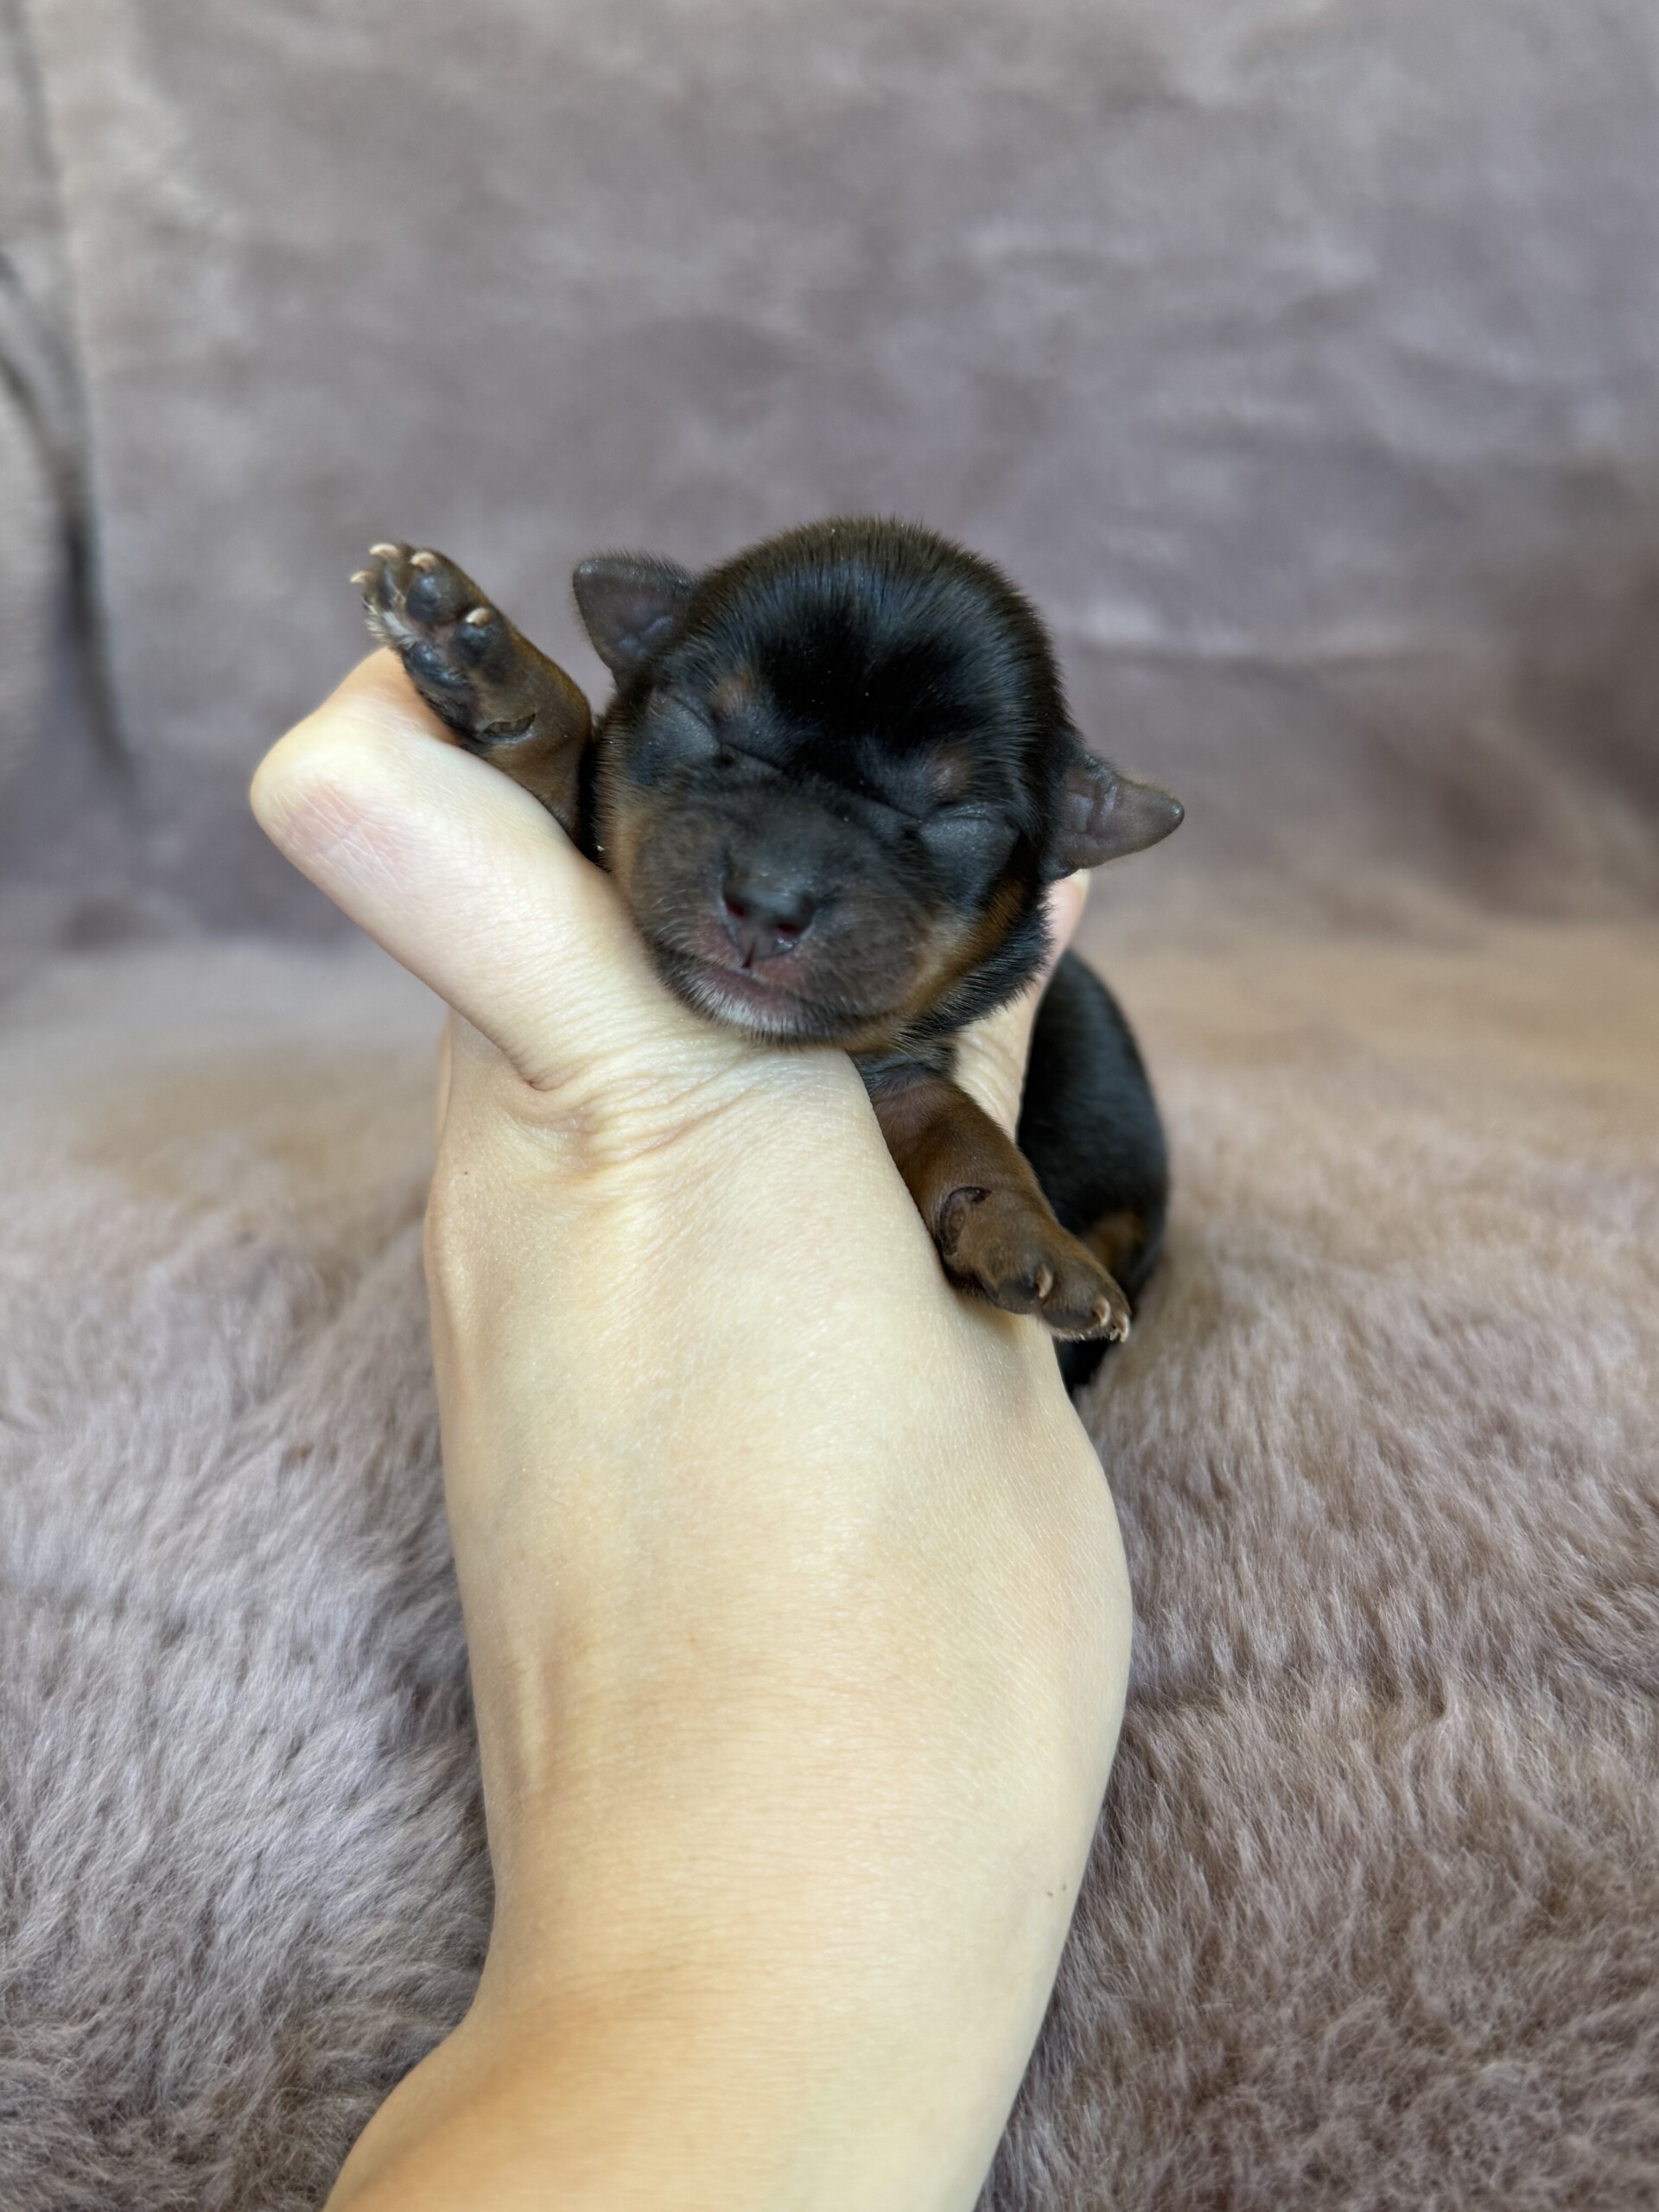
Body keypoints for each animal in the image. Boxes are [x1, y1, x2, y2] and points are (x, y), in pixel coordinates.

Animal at [357, 517, 1181, 1389]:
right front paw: (483, 661)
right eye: (706, 726)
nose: (769, 900)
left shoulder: (902, 1077)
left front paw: (1030, 1235)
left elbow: (961, 1127)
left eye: (959, 821)